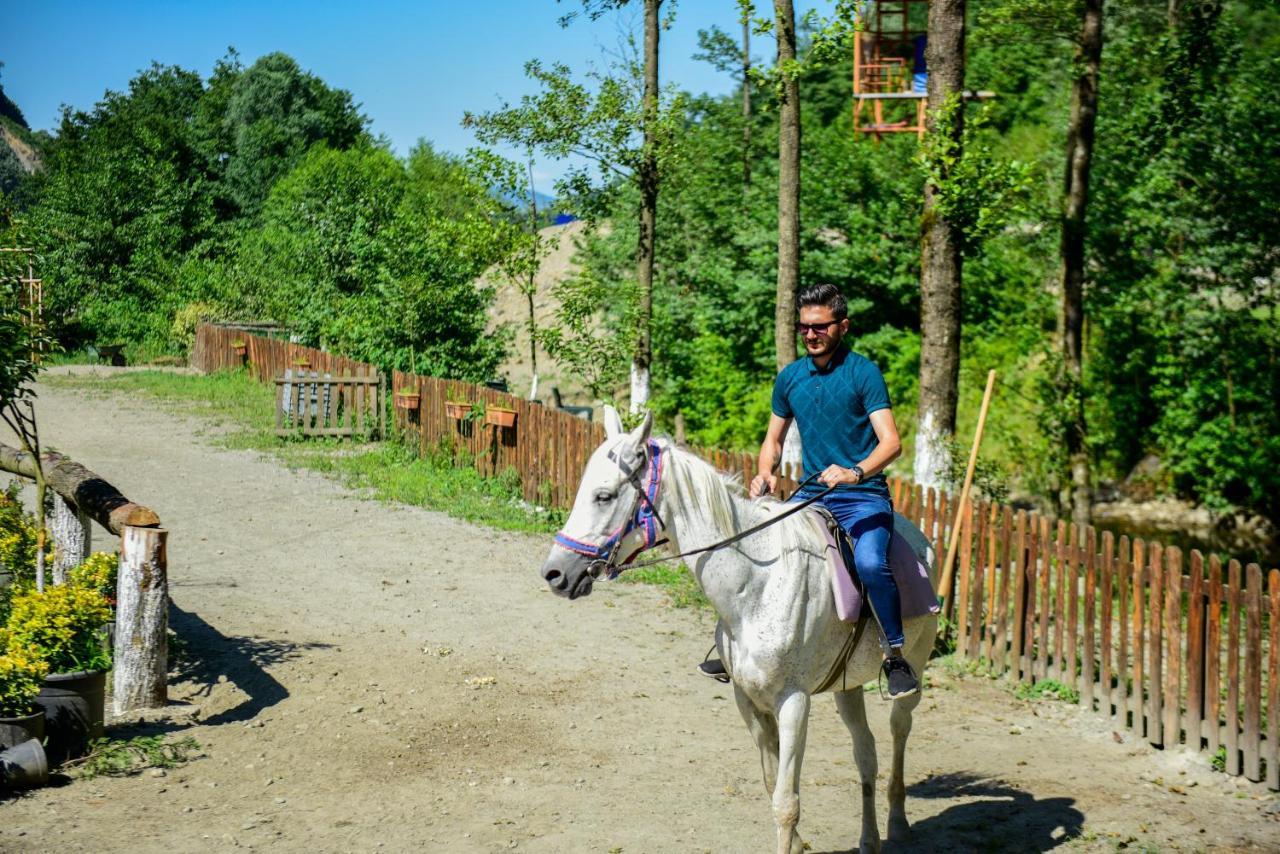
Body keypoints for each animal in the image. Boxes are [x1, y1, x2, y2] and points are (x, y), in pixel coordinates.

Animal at [540, 409, 942, 854]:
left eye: (604, 496)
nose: (555, 573)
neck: (757, 583)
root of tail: (919, 537)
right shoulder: (748, 700)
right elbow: (771, 784)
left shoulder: (793, 703)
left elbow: (786, 803)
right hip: (847, 685)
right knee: (865, 752)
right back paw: (869, 840)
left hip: (915, 665)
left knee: (899, 727)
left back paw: (898, 821)